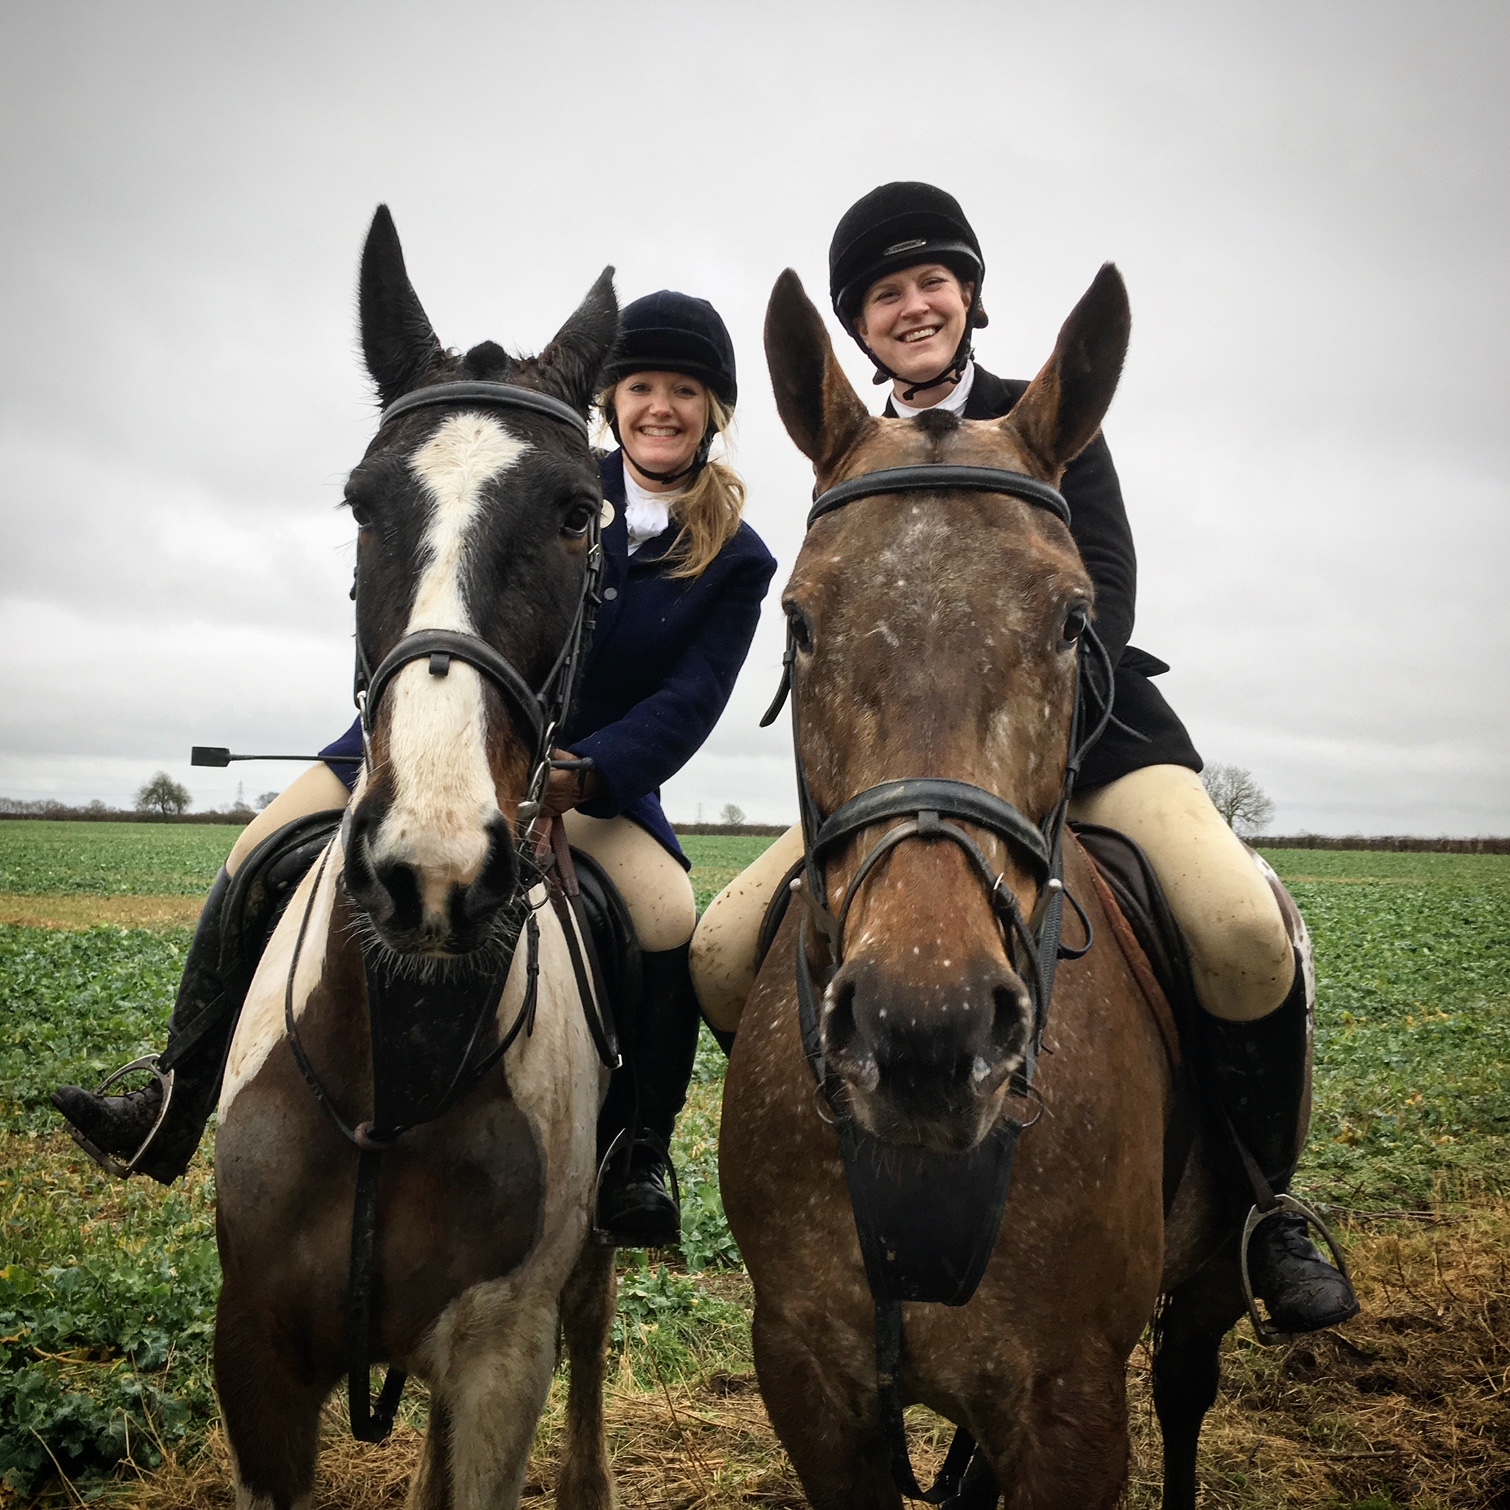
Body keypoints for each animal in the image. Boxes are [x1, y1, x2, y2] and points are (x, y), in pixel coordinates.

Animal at [211, 206, 623, 1510]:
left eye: (578, 512)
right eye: (359, 503)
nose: (431, 872)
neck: (394, 1066)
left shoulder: (501, 1355)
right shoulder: (255, 1359)